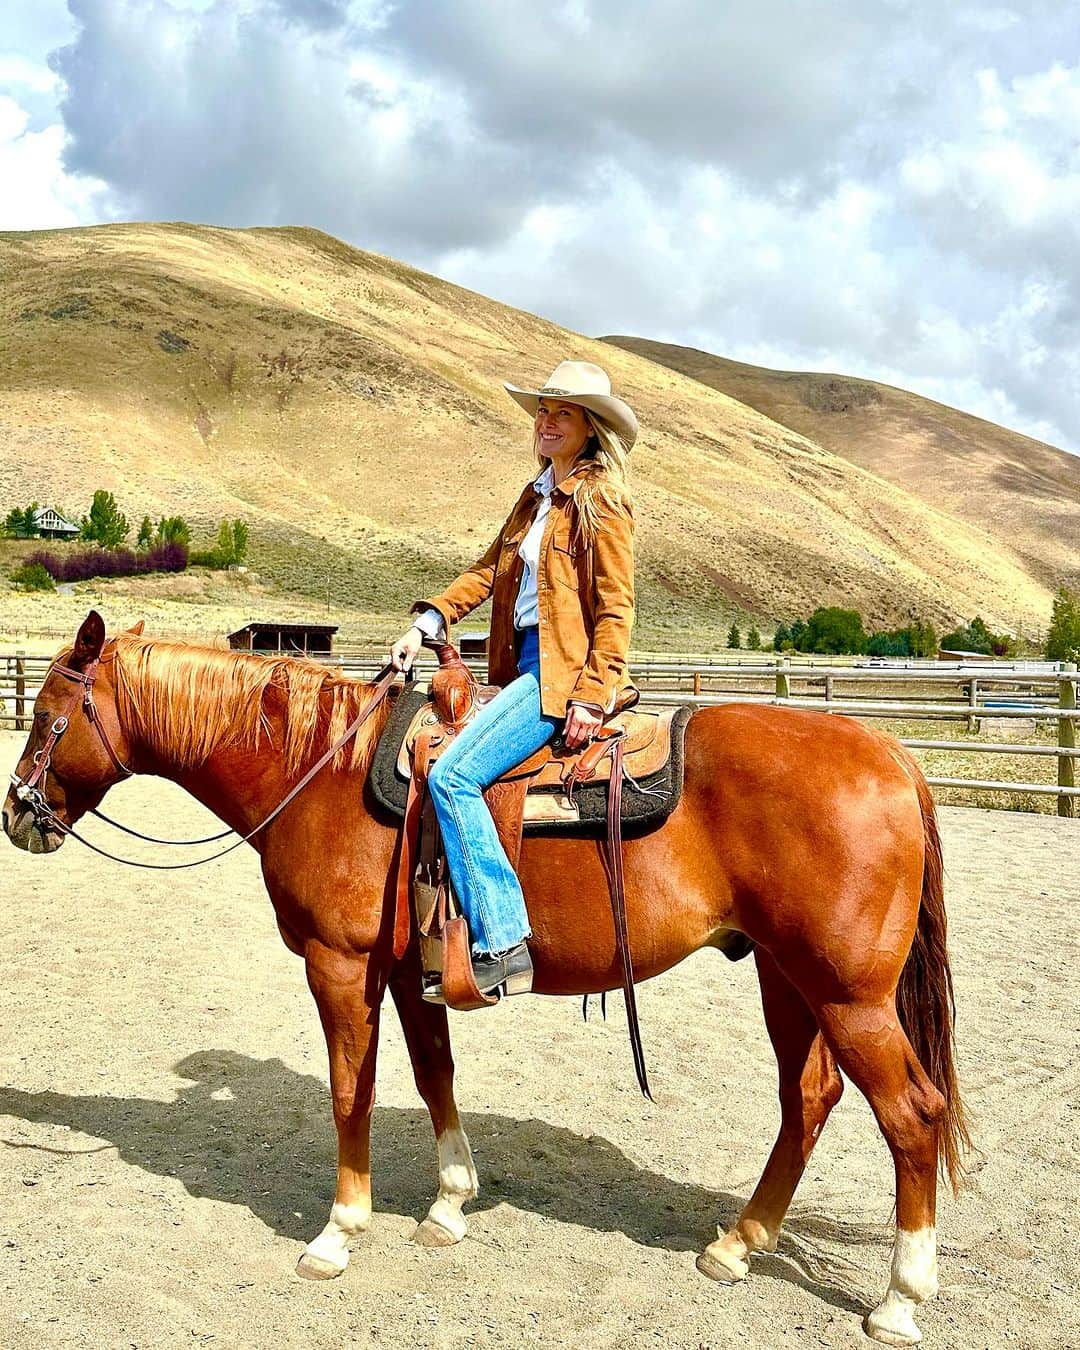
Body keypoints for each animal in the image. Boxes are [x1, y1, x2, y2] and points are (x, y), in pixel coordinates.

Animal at [4, 615, 972, 1350]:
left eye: (48, 714)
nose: (18, 812)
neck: (318, 772)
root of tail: (891, 754)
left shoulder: (339, 967)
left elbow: (349, 1093)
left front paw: (338, 1231)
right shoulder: (408, 975)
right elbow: (435, 1077)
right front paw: (449, 1203)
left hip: (846, 994)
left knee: (910, 1115)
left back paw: (899, 1298)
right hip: (786, 978)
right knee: (808, 1100)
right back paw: (738, 1243)